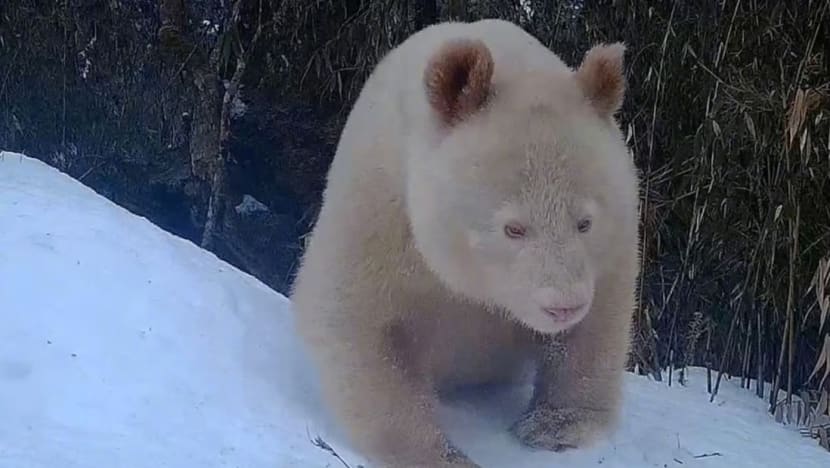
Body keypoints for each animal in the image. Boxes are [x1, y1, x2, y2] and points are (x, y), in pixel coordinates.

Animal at [290, 18, 644, 468]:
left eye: (584, 223)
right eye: (513, 228)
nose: (563, 306)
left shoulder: (613, 242)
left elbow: (598, 322)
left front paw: (555, 426)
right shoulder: (380, 210)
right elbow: (357, 321)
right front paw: (441, 455)